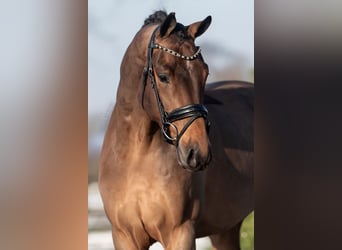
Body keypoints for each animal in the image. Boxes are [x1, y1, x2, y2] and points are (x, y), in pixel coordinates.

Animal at [99, 10, 254, 249]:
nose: (197, 153)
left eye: (205, 74)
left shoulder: (180, 232)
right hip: (225, 229)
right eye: (163, 76)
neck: (135, 157)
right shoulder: (124, 236)